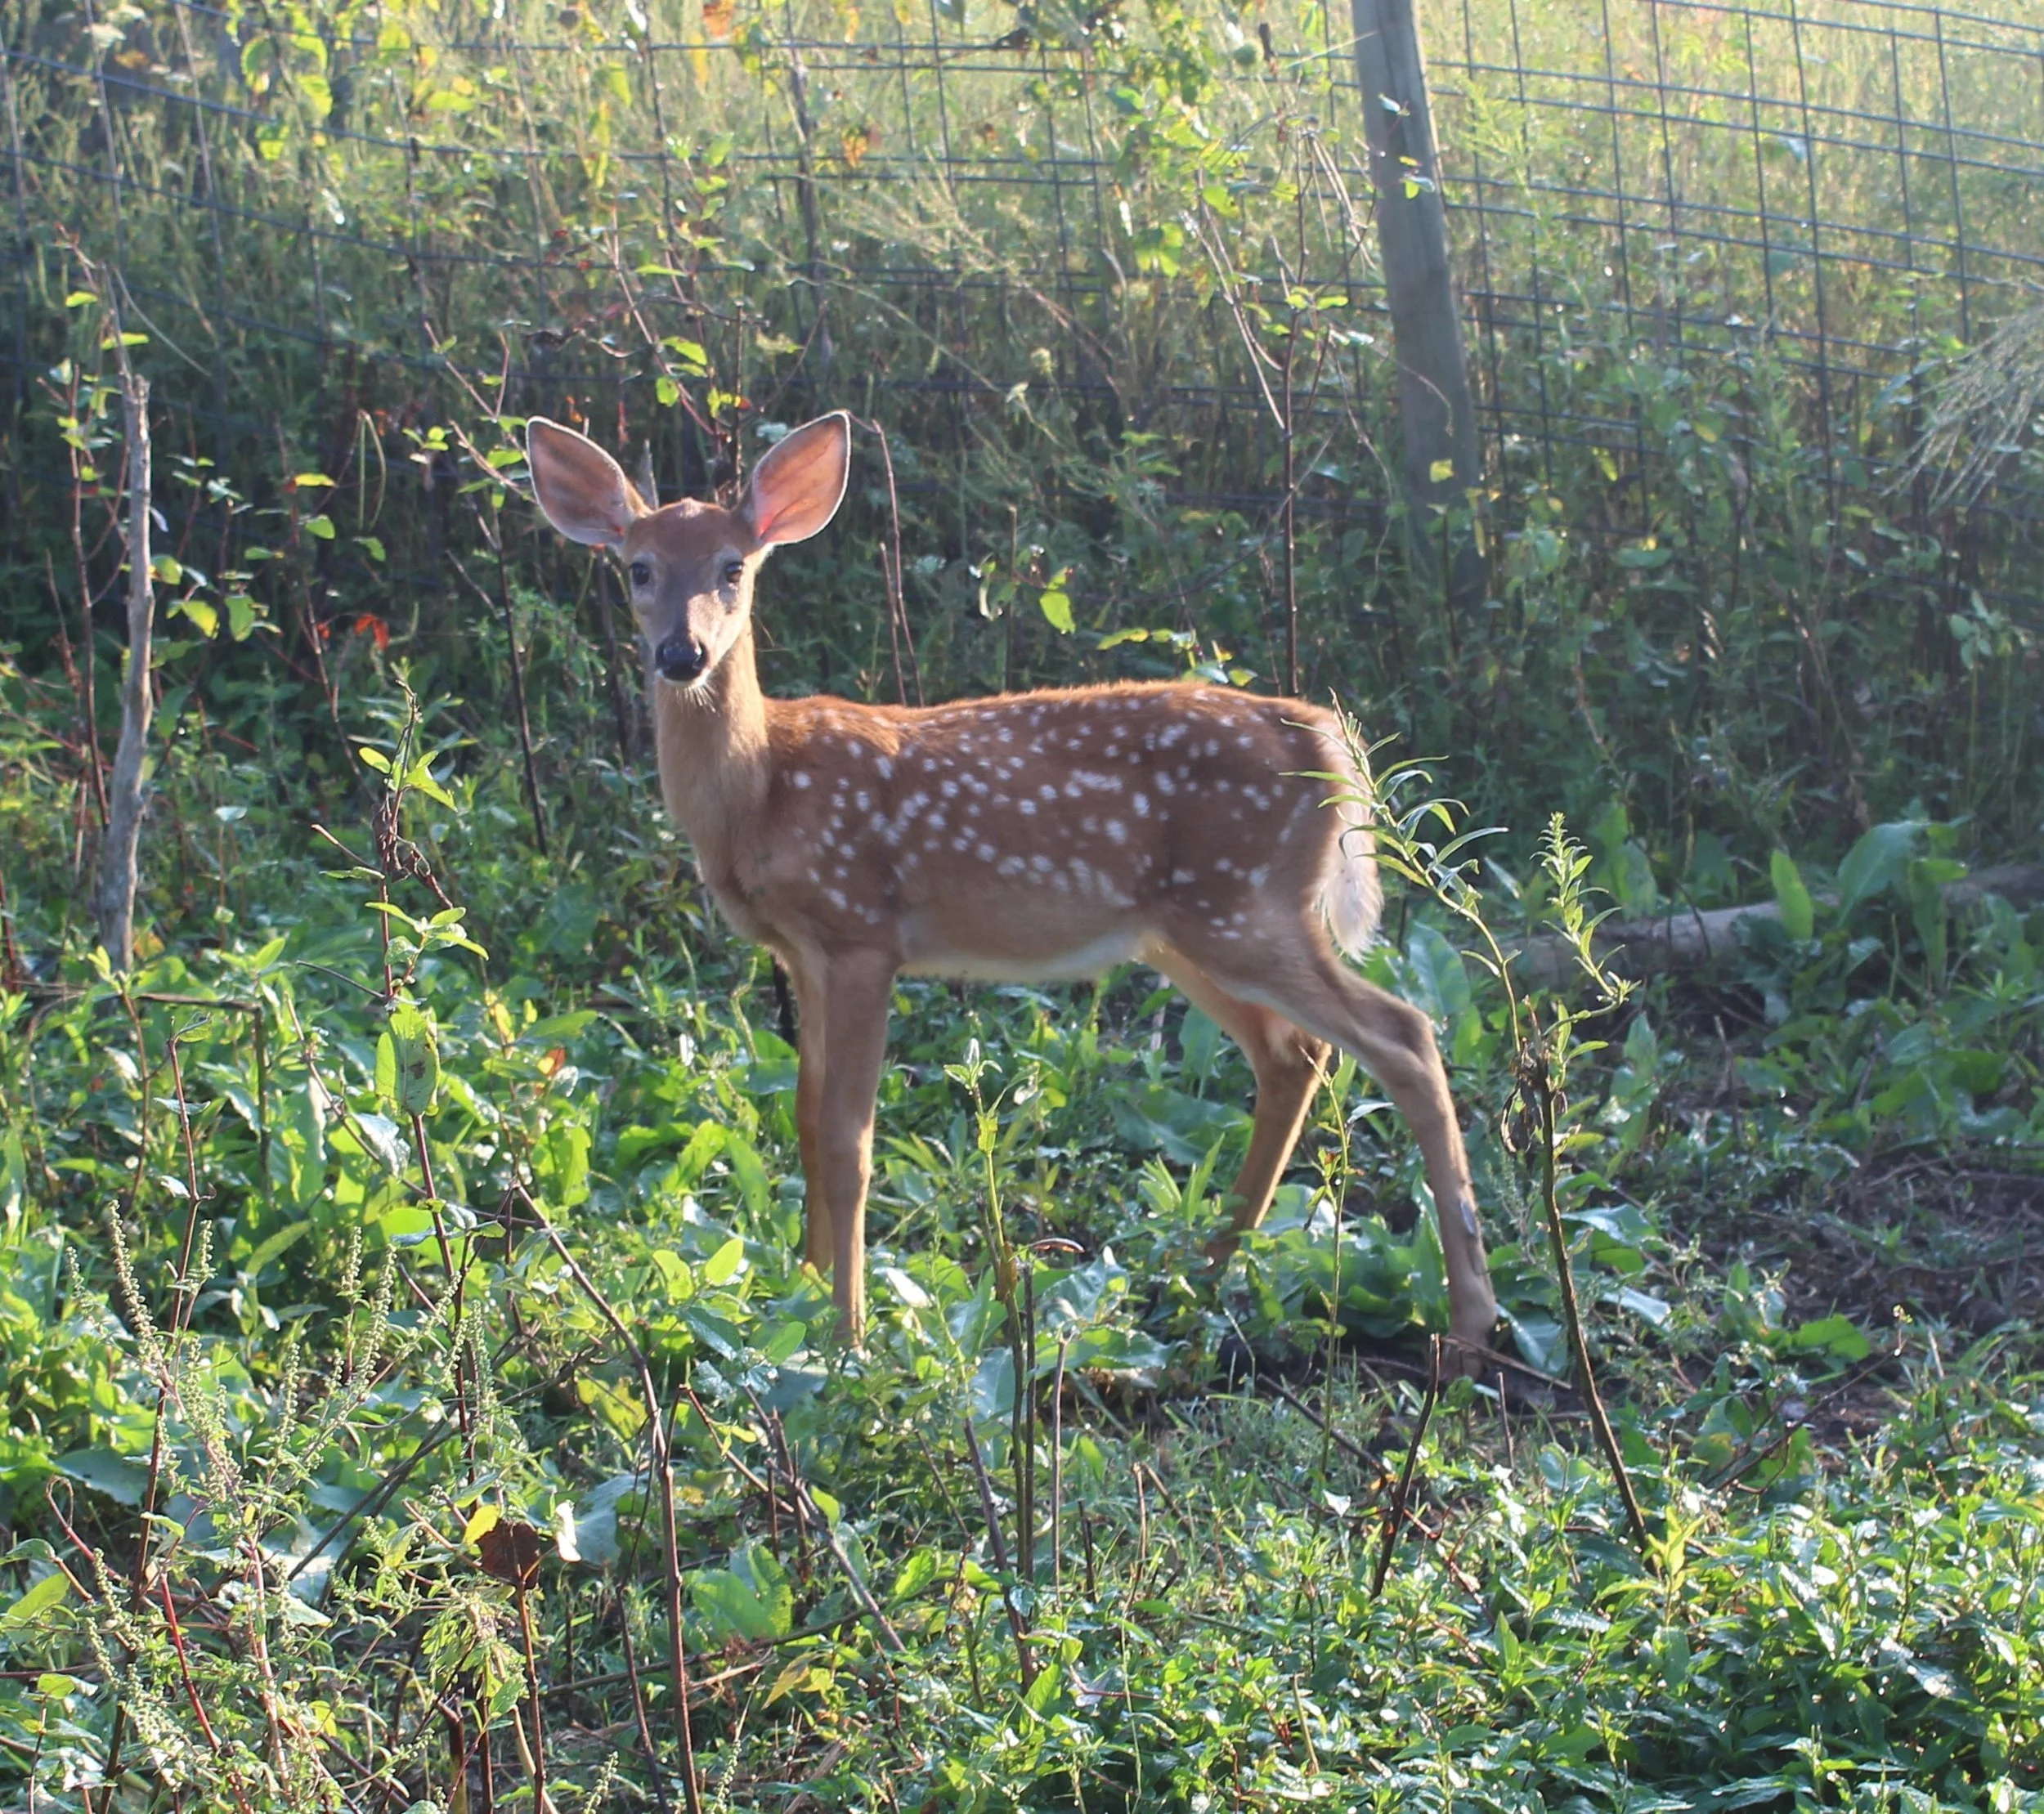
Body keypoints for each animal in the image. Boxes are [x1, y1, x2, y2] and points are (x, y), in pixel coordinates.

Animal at [525, 410, 1500, 1362]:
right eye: (639, 567)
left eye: (734, 567)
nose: (680, 652)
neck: (764, 786)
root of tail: (1326, 737)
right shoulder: (801, 954)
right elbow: (802, 1121)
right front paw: (796, 1292)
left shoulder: (862, 932)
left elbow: (848, 1141)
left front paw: (847, 1334)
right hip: (1189, 929)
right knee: (1293, 1055)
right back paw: (1206, 1268)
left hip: (1244, 907)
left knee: (1403, 1034)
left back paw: (1467, 1322)